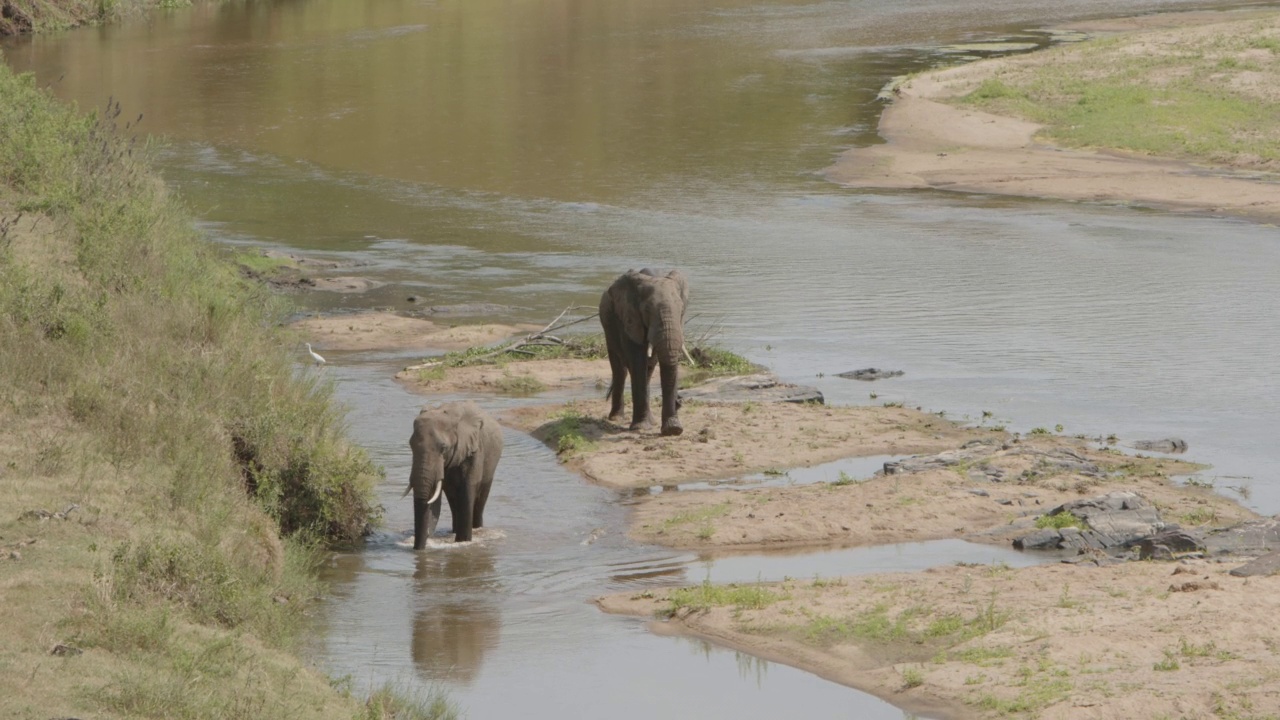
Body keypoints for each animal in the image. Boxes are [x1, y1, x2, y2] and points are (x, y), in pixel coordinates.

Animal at [407, 399, 501, 545]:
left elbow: (467, 489)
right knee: (453, 499)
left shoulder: (474, 451)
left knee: (480, 500)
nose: (418, 548)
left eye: (443, 448)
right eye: (410, 445)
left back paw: (477, 530)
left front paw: (463, 542)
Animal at [599, 266, 691, 435]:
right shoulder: (629, 318)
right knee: (620, 369)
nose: (674, 429)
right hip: (608, 326)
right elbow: (636, 360)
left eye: (681, 310)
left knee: (649, 368)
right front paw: (640, 428)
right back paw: (616, 418)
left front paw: (672, 428)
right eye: (647, 310)